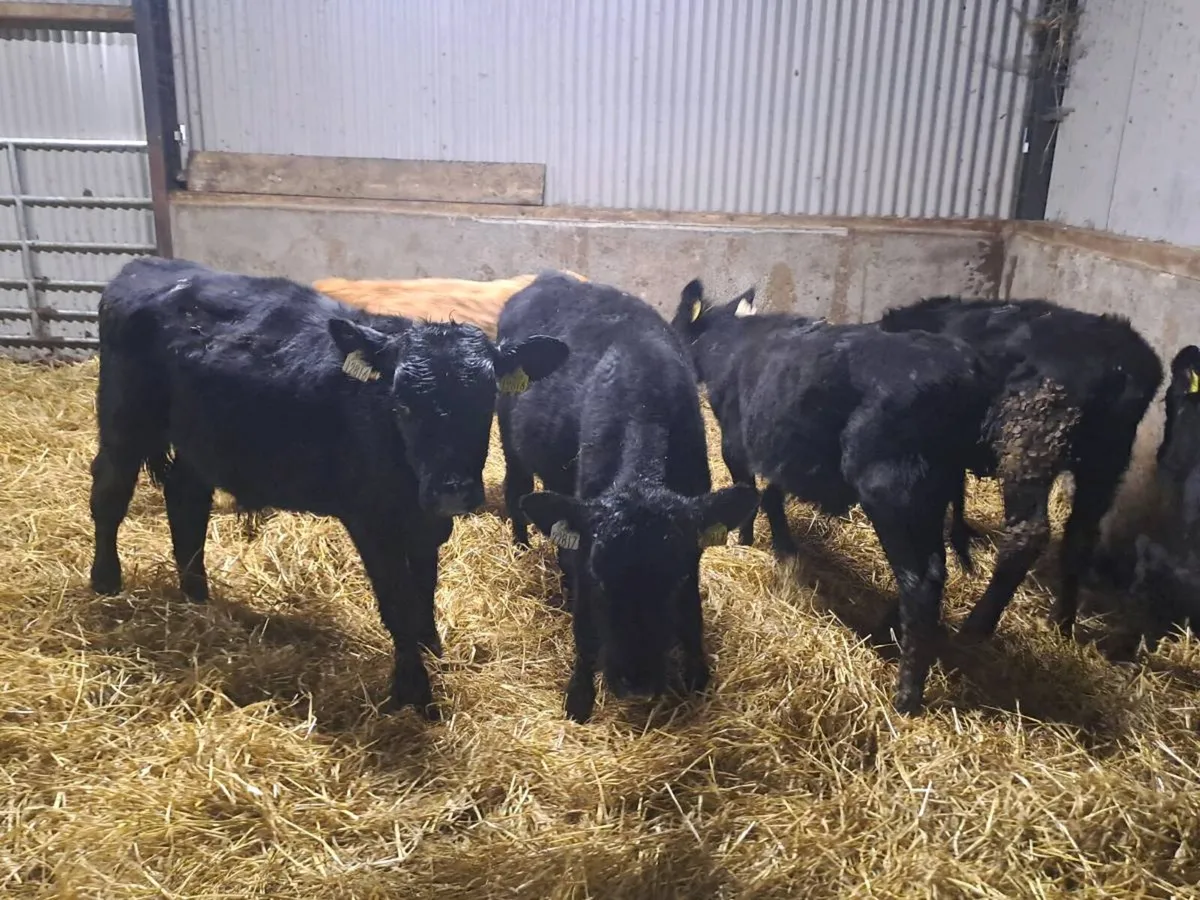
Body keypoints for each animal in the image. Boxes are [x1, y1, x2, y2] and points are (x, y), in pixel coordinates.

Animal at [497, 273, 760, 723]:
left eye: (673, 579)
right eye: (602, 578)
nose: (636, 683)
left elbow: (691, 615)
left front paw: (698, 676)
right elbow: (585, 627)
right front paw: (579, 697)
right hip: (510, 440)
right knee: (517, 492)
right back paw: (521, 546)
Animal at [672, 280, 992, 715]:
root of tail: (964, 374)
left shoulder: (736, 443)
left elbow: (749, 493)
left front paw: (744, 543)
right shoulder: (780, 448)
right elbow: (771, 495)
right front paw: (783, 550)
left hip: (892, 492)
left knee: (919, 580)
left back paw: (906, 694)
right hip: (933, 495)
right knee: (936, 569)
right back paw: (888, 630)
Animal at [879, 296, 1163, 643]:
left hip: (1031, 442)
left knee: (1028, 534)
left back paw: (976, 628)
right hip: (1107, 460)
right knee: (1080, 536)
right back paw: (1062, 623)